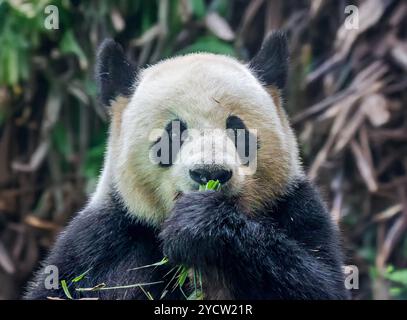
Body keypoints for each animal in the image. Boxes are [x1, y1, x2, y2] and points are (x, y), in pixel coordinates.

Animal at [25, 31, 350, 300]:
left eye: (238, 129)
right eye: (173, 133)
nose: (210, 173)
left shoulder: (296, 207)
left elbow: (319, 283)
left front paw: (201, 225)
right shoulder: (104, 239)